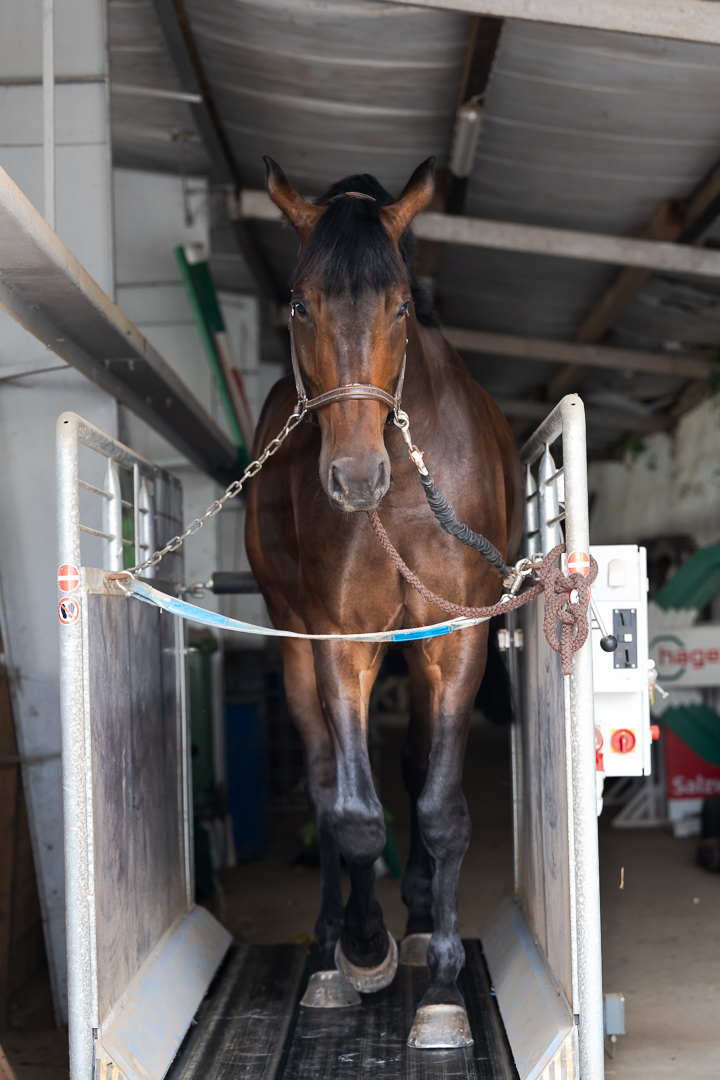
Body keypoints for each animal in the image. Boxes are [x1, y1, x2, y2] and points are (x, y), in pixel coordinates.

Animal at [245, 156, 524, 1048]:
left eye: (401, 304)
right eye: (300, 303)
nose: (355, 477)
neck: (398, 493)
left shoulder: (457, 640)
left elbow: (440, 808)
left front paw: (440, 984)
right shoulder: (341, 641)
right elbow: (355, 814)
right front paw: (363, 951)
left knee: (410, 766)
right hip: (296, 643)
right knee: (328, 778)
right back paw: (337, 938)